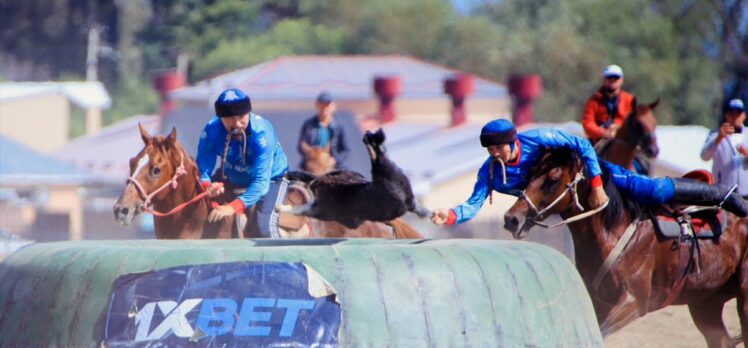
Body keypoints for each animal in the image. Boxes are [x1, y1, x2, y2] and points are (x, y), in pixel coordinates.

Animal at [502, 148, 748, 346]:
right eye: (530, 175)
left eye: (552, 180)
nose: (512, 218)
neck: (615, 232)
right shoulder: (599, 302)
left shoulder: (633, 303)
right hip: (705, 304)